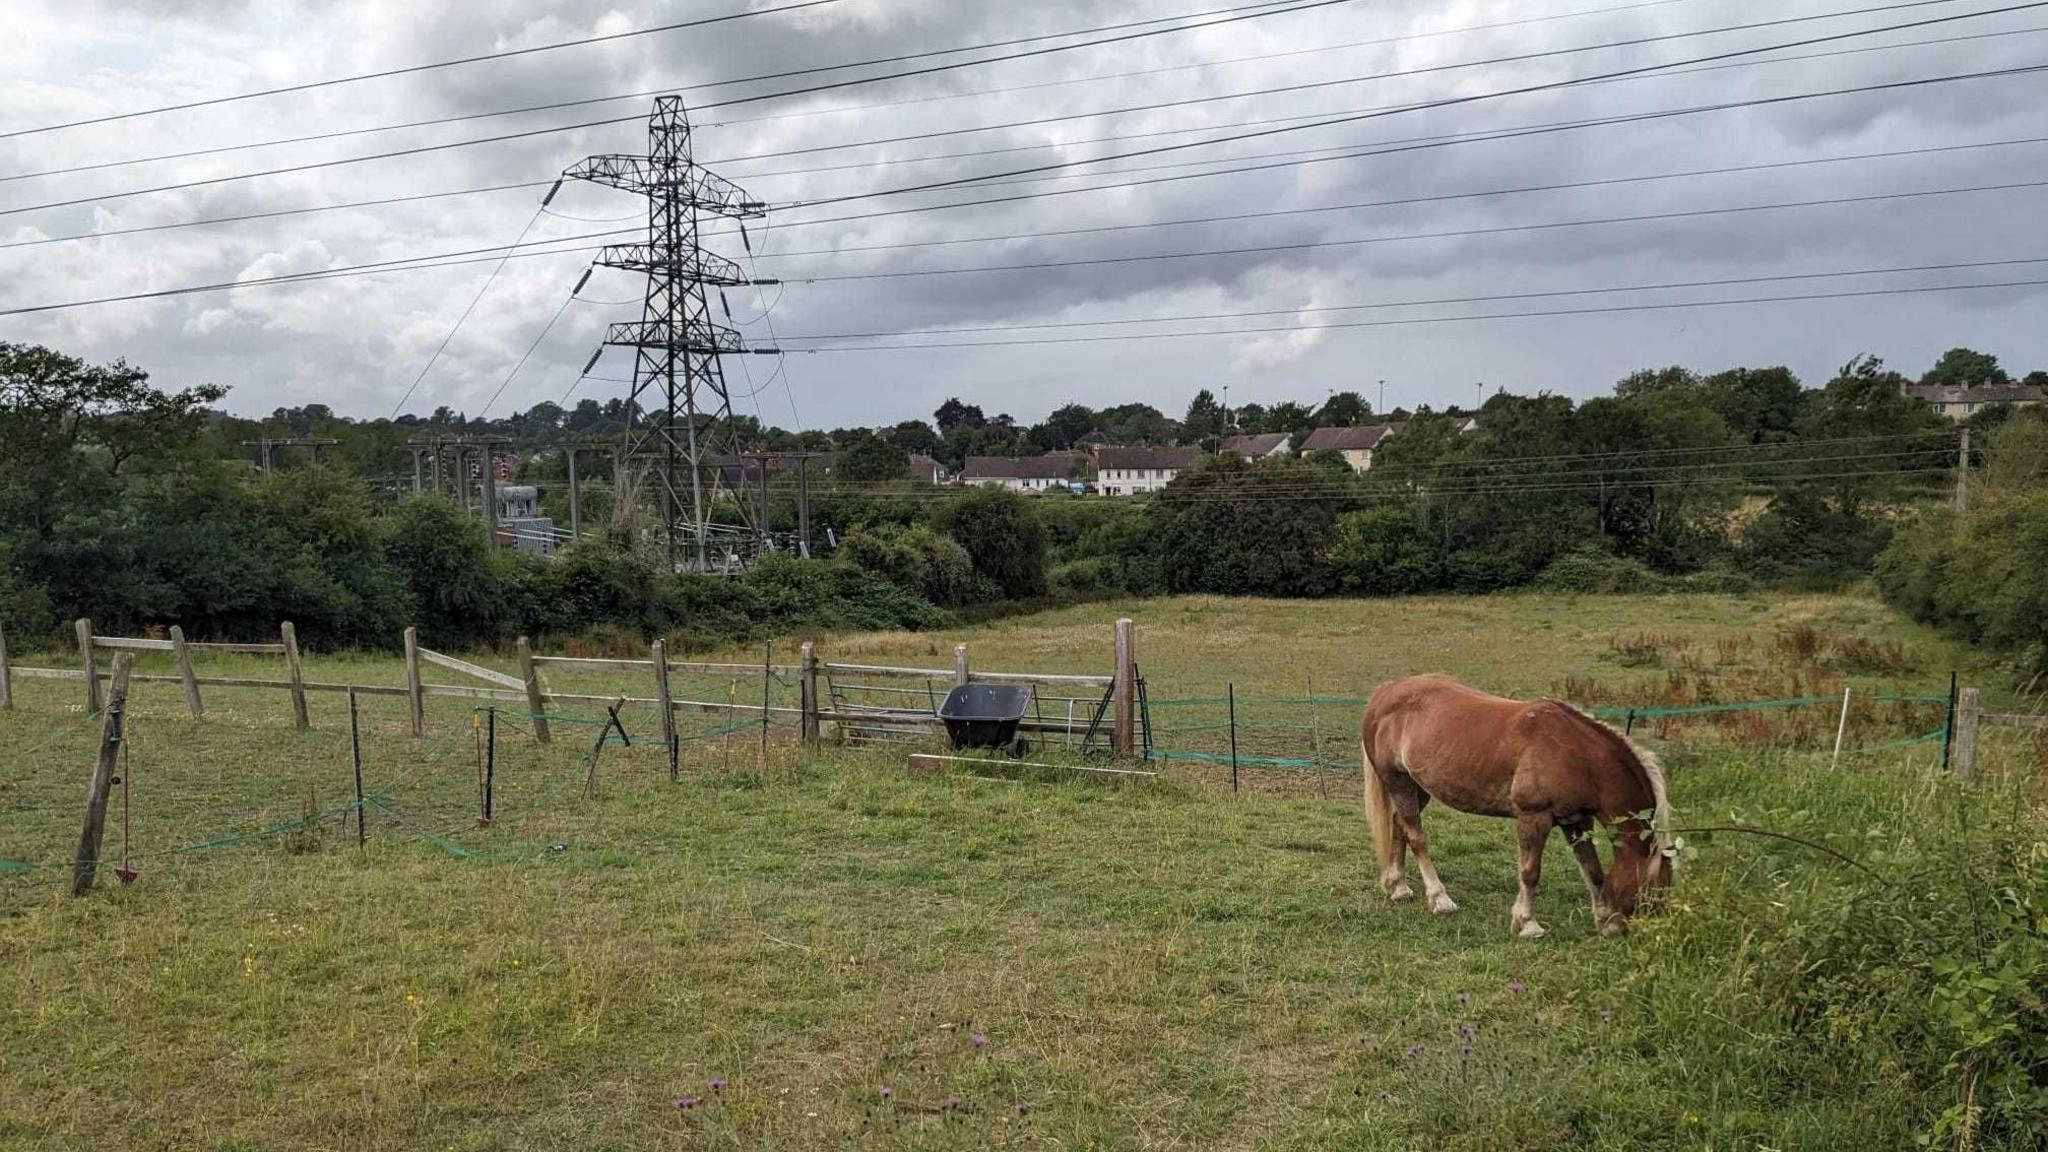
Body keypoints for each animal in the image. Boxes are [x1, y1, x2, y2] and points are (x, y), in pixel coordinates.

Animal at [1351, 672, 1671, 934]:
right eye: (1656, 888)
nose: (1655, 933)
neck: (1577, 755)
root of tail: (1384, 693)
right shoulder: (1534, 817)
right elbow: (1530, 872)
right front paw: (1527, 923)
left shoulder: (1577, 821)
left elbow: (1592, 869)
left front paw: (1606, 920)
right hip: (1398, 783)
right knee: (1416, 837)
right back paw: (1440, 900)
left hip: (1418, 788)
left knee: (1399, 826)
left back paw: (1399, 888)